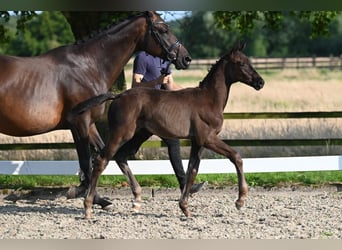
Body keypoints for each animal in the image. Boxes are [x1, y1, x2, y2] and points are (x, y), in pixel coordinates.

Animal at [71, 42, 264, 218]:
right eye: (241, 63)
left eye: (249, 61)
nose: (260, 82)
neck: (209, 99)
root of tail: (117, 95)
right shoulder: (208, 138)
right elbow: (236, 156)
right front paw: (240, 200)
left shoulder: (197, 142)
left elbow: (192, 170)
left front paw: (185, 207)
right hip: (121, 133)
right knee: (101, 160)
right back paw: (88, 207)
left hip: (139, 134)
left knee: (121, 156)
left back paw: (137, 199)